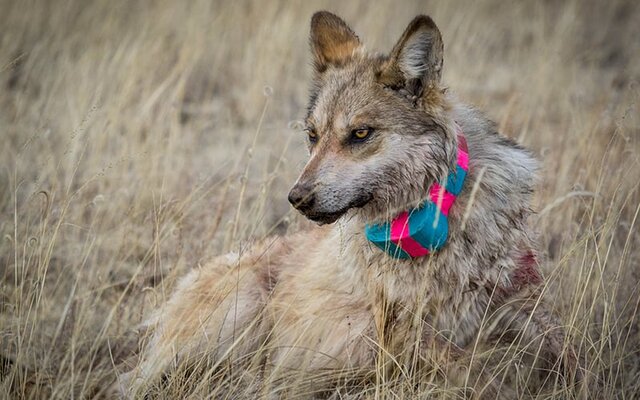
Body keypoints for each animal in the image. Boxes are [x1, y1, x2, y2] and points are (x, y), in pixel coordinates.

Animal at [115, 12, 580, 398]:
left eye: (359, 134)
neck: (437, 223)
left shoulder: (528, 322)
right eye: (313, 135)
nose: (297, 198)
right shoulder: (395, 348)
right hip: (235, 312)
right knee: (133, 382)